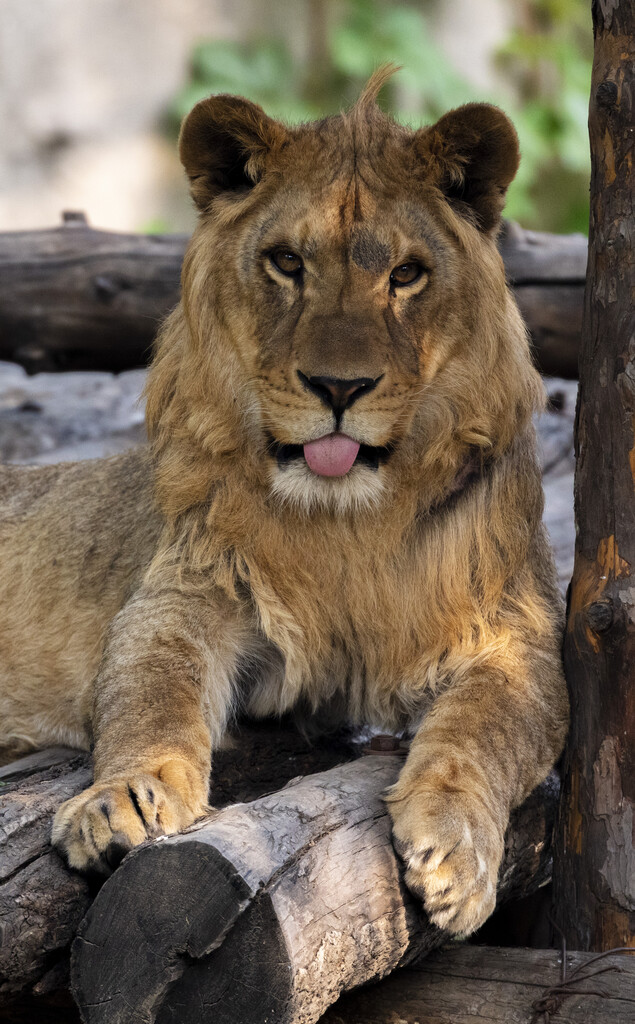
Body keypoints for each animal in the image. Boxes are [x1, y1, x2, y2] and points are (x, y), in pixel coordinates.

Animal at [0, 68, 569, 937]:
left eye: (405, 274)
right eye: (287, 263)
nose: (338, 388)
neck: (345, 522)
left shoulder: (517, 634)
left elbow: (485, 729)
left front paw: (455, 852)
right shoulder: (184, 592)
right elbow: (151, 693)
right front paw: (121, 798)